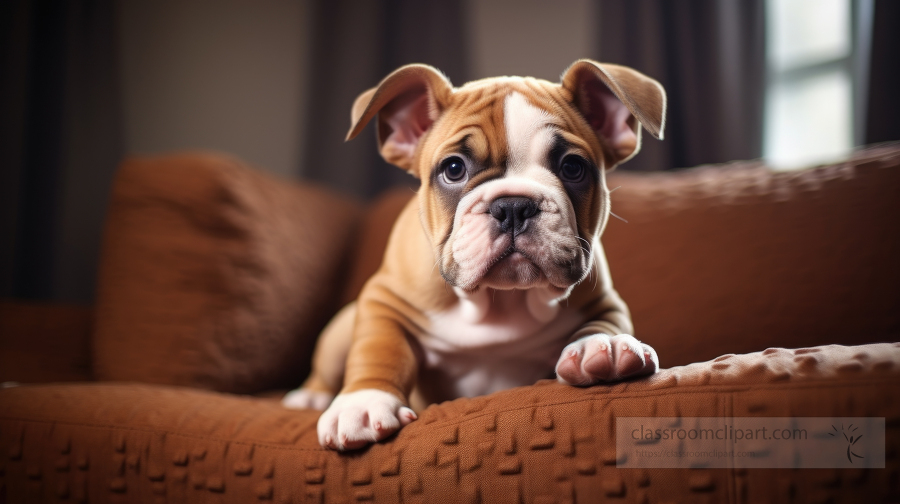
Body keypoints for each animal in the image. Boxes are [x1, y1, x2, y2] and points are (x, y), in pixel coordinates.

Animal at [284, 60, 664, 452]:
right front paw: (363, 402)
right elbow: (379, 347)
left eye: (573, 168)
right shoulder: (384, 301)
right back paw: (311, 396)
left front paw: (604, 346)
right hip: (340, 332)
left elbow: (607, 321)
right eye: (453, 169)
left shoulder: (605, 298)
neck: (500, 301)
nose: (513, 206)